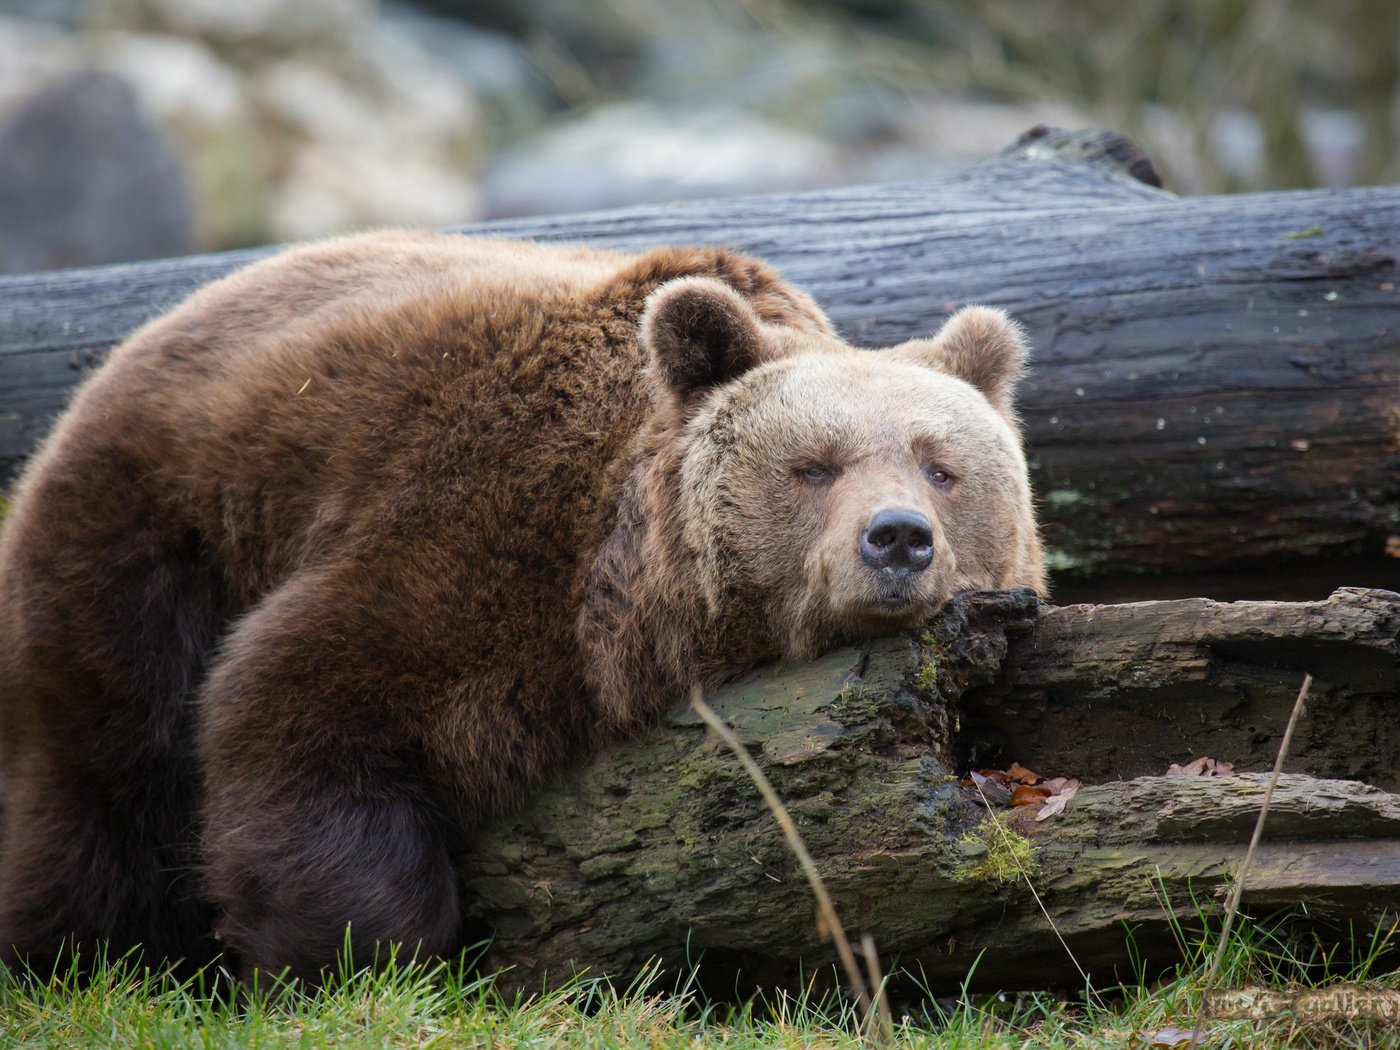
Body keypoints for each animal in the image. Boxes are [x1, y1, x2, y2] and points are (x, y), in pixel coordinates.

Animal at [0, 229, 1041, 985]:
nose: (897, 538)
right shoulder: (478, 531)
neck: (625, 597)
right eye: (814, 466)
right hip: (153, 532)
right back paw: (71, 951)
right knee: (106, 775)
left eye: (940, 467)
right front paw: (349, 954)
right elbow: (298, 697)